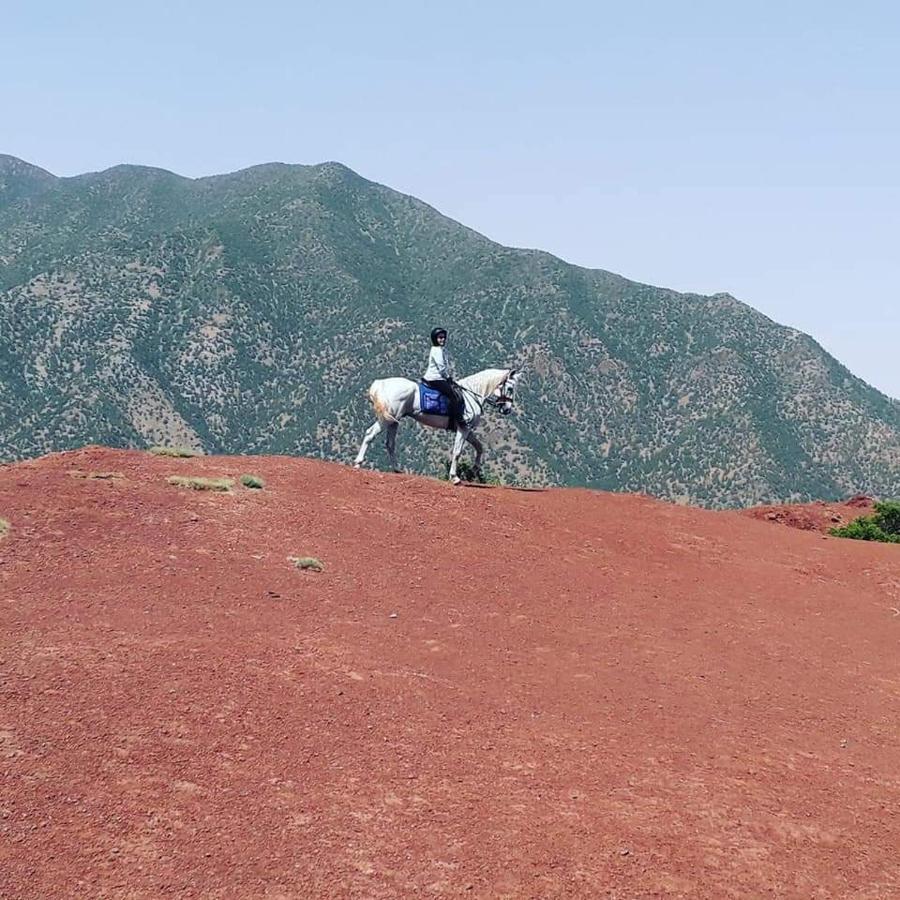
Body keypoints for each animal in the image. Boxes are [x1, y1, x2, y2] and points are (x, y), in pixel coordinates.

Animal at [350, 368, 520, 486]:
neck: (472, 395)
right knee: (370, 434)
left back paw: (397, 470)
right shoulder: (463, 428)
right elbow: (457, 452)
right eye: (510, 388)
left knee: (390, 443)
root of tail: (380, 384)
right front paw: (455, 478)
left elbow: (479, 447)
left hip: (393, 421)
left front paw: (475, 470)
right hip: (386, 420)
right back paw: (358, 463)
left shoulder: (467, 429)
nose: (507, 409)